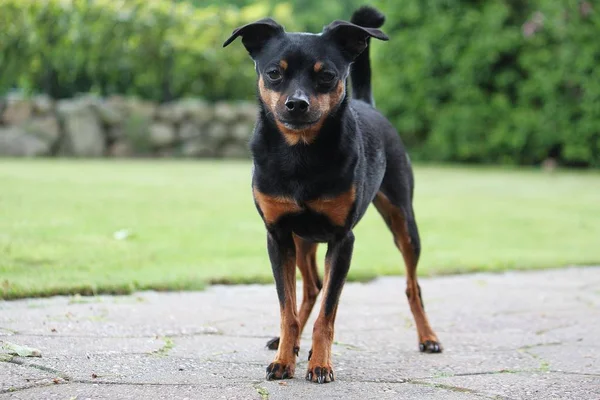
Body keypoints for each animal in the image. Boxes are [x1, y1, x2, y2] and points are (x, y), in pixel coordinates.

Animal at [224, 5, 440, 382]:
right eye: (273, 73)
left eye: (326, 76)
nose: (296, 104)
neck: (300, 154)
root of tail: (369, 104)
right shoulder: (278, 236)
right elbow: (287, 307)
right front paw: (284, 358)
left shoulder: (342, 240)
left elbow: (328, 312)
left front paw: (321, 363)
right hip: (303, 240)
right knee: (310, 288)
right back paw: (292, 342)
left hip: (403, 223)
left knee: (412, 285)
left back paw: (427, 337)